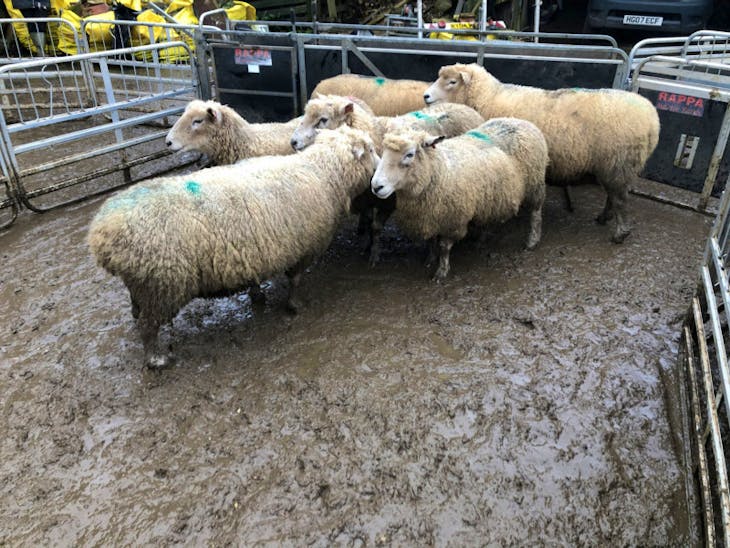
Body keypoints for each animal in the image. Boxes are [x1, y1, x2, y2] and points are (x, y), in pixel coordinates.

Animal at [88, 126, 379, 369]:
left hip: (143, 280)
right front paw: (295, 305)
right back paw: (155, 359)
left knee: (137, 309)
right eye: (371, 150)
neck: (323, 172)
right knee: (148, 326)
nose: (378, 174)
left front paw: (258, 295)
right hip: (164, 283)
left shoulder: (258, 251)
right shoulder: (305, 248)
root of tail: (102, 233)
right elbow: (295, 280)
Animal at [290, 95, 485, 266]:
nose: (293, 142)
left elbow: (376, 227)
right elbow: (369, 222)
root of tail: (466, 107)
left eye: (323, 119)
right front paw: (367, 245)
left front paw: (374, 254)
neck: (374, 134)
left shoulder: (387, 201)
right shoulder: (368, 198)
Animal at [370, 117, 549, 281]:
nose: (376, 186)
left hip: (535, 184)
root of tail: (521, 121)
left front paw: (441, 271)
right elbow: (431, 241)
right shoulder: (431, 216)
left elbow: (444, 247)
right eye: (383, 152)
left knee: (536, 212)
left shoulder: (453, 220)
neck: (439, 171)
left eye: (409, 154)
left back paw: (532, 240)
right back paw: (481, 239)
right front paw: (430, 258)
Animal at [423, 62, 660, 243]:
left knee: (620, 199)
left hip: (619, 162)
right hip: (614, 166)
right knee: (613, 195)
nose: (425, 96)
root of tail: (652, 116)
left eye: (452, 82)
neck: (487, 97)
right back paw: (604, 218)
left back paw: (620, 234)